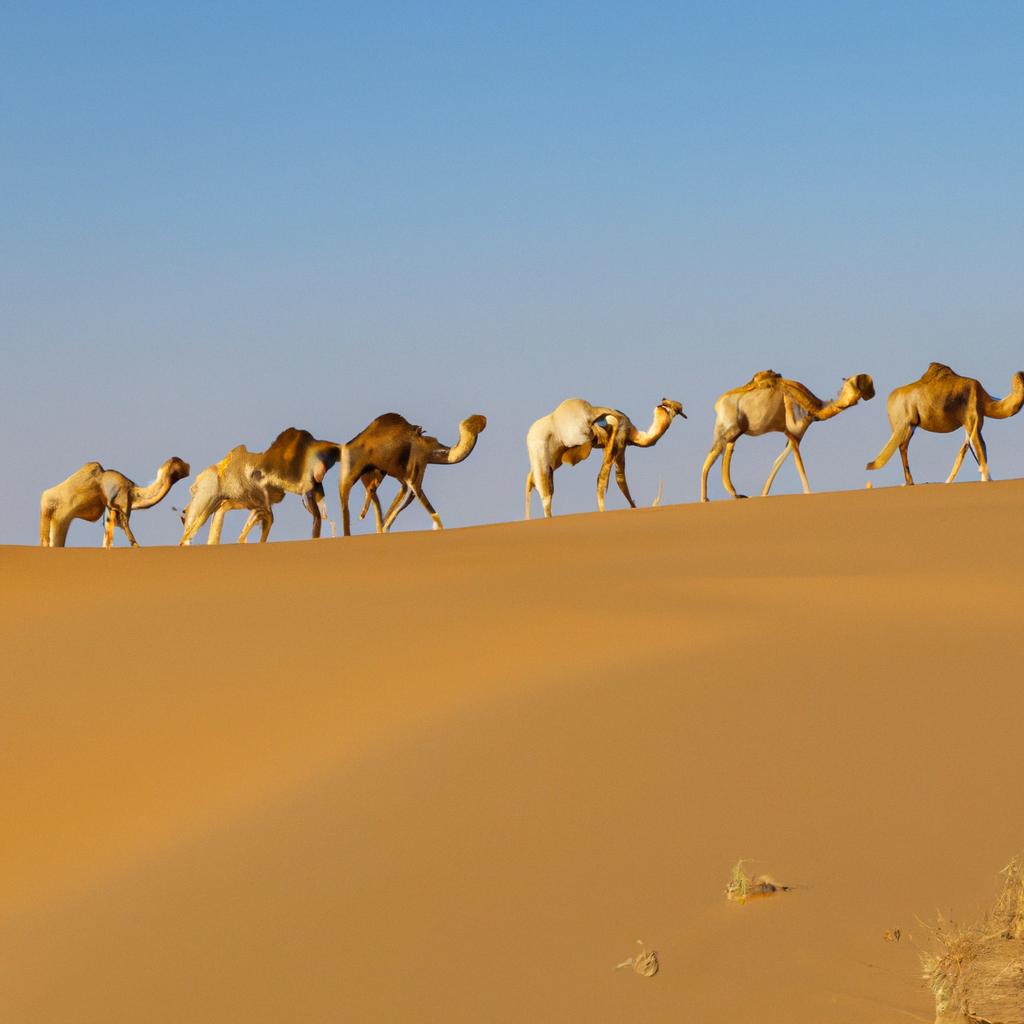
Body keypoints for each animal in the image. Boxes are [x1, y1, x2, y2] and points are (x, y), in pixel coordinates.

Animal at [39, 458, 191, 548]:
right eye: (180, 463)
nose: (189, 466)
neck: (133, 491)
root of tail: (45, 496)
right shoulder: (122, 508)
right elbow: (130, 537)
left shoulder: (110, 511)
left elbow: (107, 540)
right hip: (61, 516)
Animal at [335, 411, 487, 536]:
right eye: (474, 421)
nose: (484, 418)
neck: (432, 450)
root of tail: (347, 445)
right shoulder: (415, 469)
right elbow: (428, 507)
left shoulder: (408, 474)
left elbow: (405, 497)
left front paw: (384, 529)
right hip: (352, 472)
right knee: (345, 498)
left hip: (376, 473)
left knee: (372, 493)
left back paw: (369, 521)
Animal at [524, 393, 684, 516]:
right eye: (676, 408)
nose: (683, 411)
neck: (634, 435)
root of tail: (530, 435)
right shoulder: (619, 442)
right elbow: (613, 479)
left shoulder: (614, 446)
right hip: (557, 449)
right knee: (545, 493)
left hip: (548, 458)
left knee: (534, 483)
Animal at [700, 370, 876, 501]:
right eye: (852, 383)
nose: (853, 401)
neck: (816, 409)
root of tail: (718, 404)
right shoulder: (792, 431)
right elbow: (799, 464)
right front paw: (809, 493)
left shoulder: (795, 437)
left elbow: (777, 462)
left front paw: (763, 495)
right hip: (731, 429)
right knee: (713, 456)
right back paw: (705, 499)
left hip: (733, 431)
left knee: (724, 454)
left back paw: (735, 494)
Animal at [864, 362, 1024, 485]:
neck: (986, 402)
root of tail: (889, 401)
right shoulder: (973, 418)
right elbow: (980, 447)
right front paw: (986, 479)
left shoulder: (969, 423)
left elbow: (965, 450)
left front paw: (948, 481)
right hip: (903, 422)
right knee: (901, 445)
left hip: (910, 425)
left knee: (903, 445)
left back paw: (909, 482)